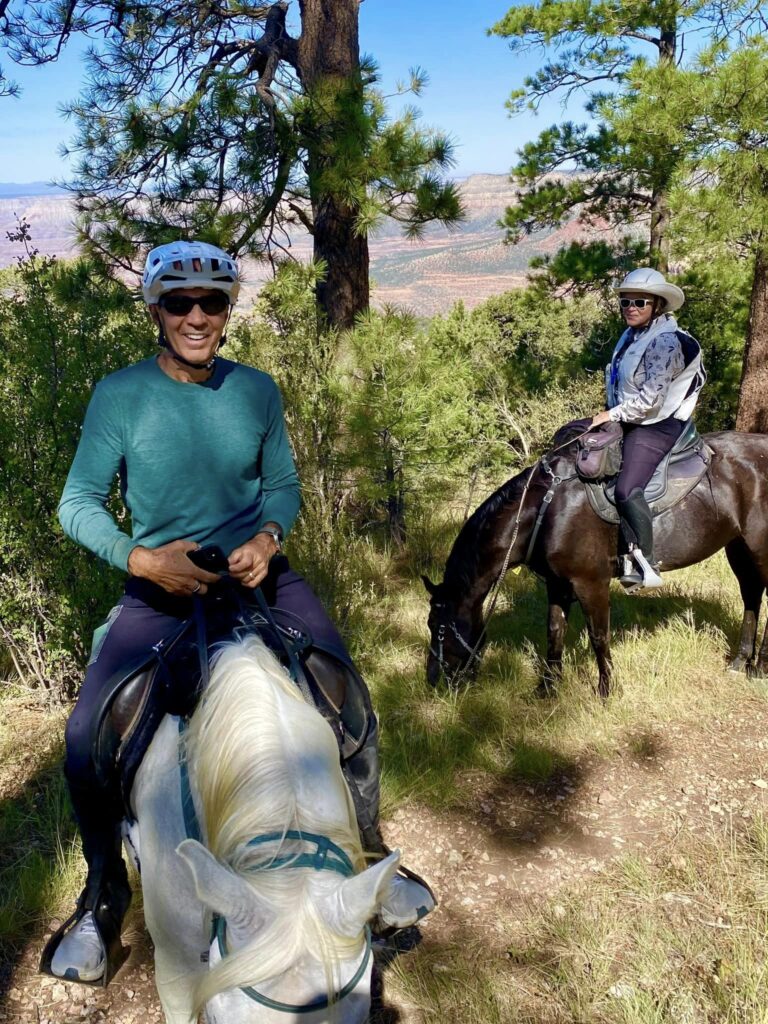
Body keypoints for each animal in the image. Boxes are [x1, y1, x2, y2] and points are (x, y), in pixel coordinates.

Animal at [423, 428, 768, 700]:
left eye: (438, 627)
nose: (432, 681)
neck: (545, 511)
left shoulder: (591, 584)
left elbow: (598, 636)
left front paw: (606, 691)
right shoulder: (557, 584)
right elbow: (554, 631)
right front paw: (547, 689)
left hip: (759, 548)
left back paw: (760, 667)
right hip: (738, 547)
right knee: (751, 595)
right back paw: (740, 662)